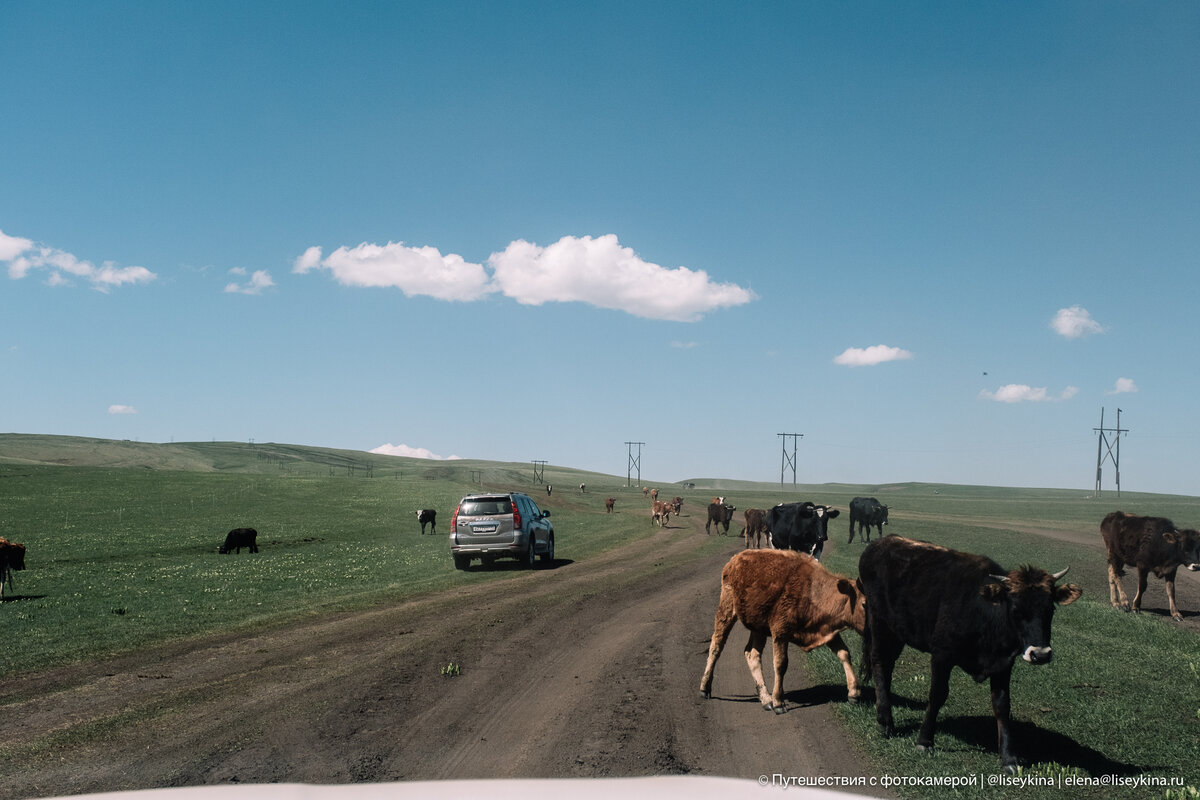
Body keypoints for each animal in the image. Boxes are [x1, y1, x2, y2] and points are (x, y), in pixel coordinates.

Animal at [700, 551, 868, 714]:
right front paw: (778, 702)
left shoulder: (828, 631)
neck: (813, 591)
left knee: (752, 653)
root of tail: (735, 559)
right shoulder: (780, 633)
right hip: (726, 610)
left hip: (758, 628)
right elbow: (781, 664)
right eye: (864, 604)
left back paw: (766, 699)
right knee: (716, 646)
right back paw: (705, 688)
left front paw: (854, 693)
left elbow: (844, 653)